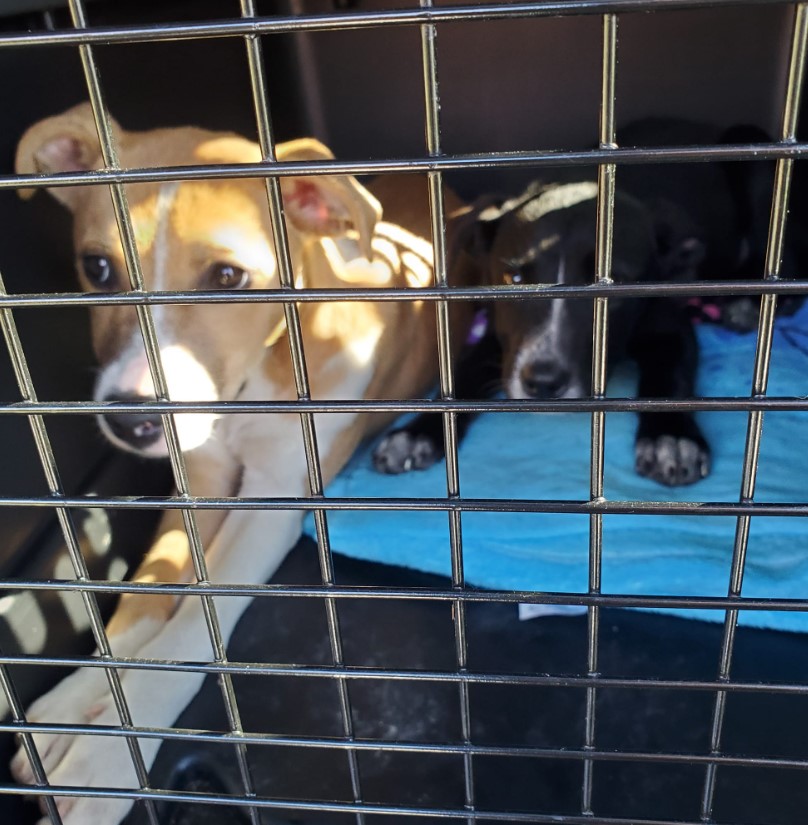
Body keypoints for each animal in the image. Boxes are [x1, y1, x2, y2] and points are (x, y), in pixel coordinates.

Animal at [376, 174, 712, 482]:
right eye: (513, 279)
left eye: (616, 285)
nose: (543, 384)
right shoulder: (498, 341)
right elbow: (462, 375)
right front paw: (420, 432)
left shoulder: (671, 327)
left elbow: (671, 377)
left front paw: (671, 437)